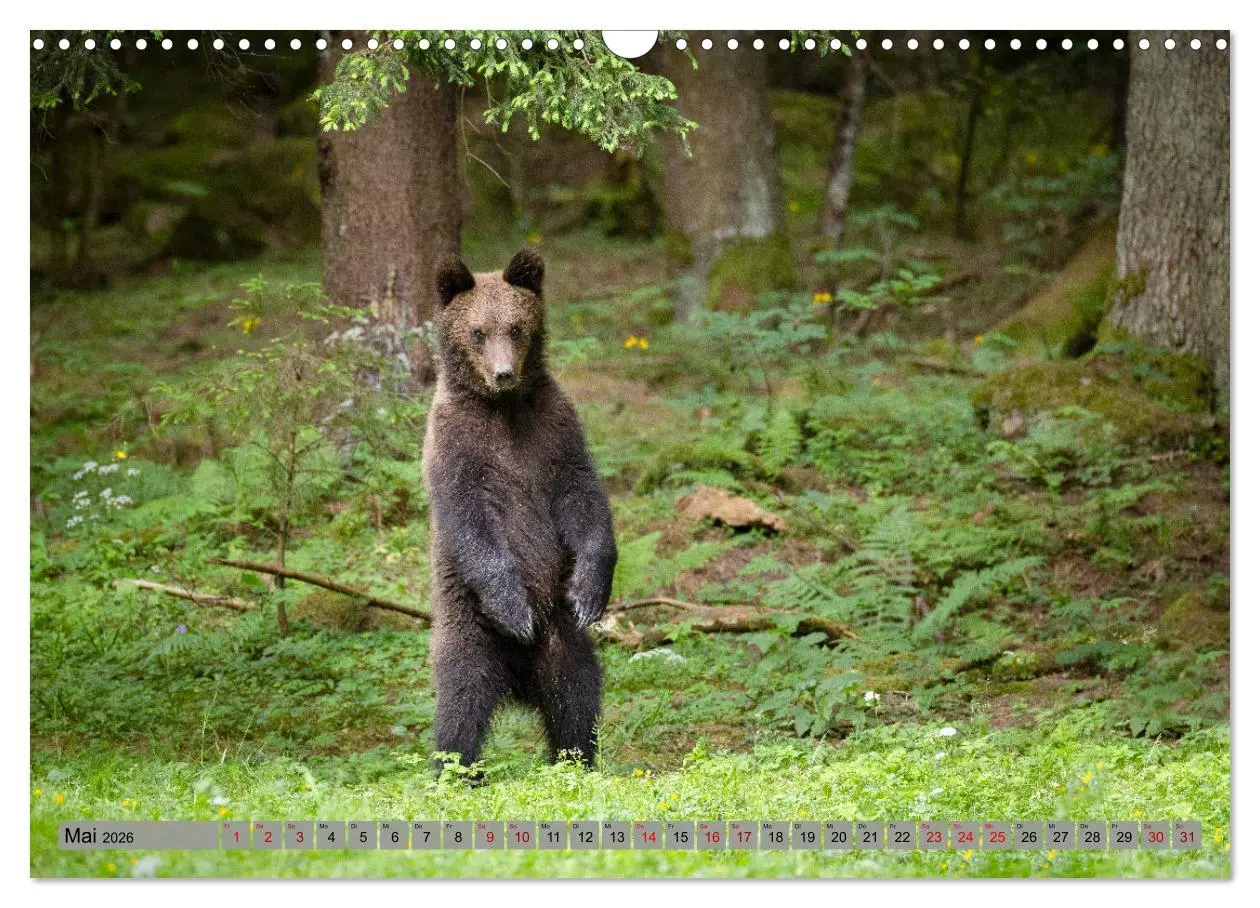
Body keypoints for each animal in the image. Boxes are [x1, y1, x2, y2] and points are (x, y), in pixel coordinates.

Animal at [423, 247, 617, 771]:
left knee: (576, 695)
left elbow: (584, 500)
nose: (503, 373)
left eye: (515, 327)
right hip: (469, 626)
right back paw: (454, 770)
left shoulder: (555, 434)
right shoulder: (456, 448)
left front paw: (590, 591)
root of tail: (517, 683)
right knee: (462, 701)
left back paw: (576, 760)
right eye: (477, 331)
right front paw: (514, 607)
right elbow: (470, 520)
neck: (504, 410)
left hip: (562, 639)